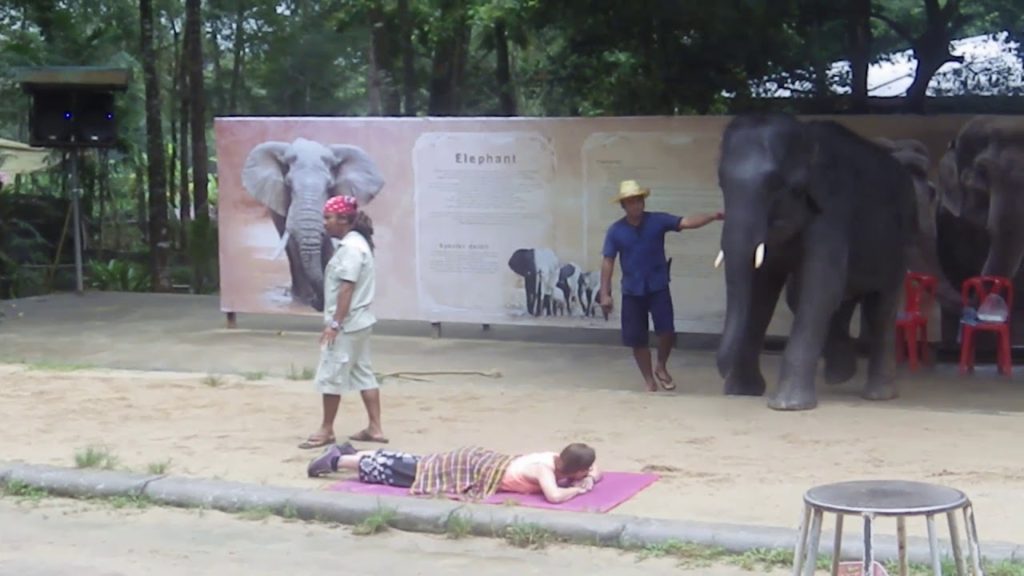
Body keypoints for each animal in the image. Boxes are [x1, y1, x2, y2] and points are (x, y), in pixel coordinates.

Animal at [712, 112, 921, 407]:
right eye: (721, 183)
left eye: (777, 185)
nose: (720, 368)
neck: (806, 136)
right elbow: (762, 289)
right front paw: (742, 391)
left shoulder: (832, 210)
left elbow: (819, 286)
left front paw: (787, 405)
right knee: (834, 297)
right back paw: (840, 374)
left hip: (900, 241)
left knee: (880, 306)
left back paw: (878, 394)